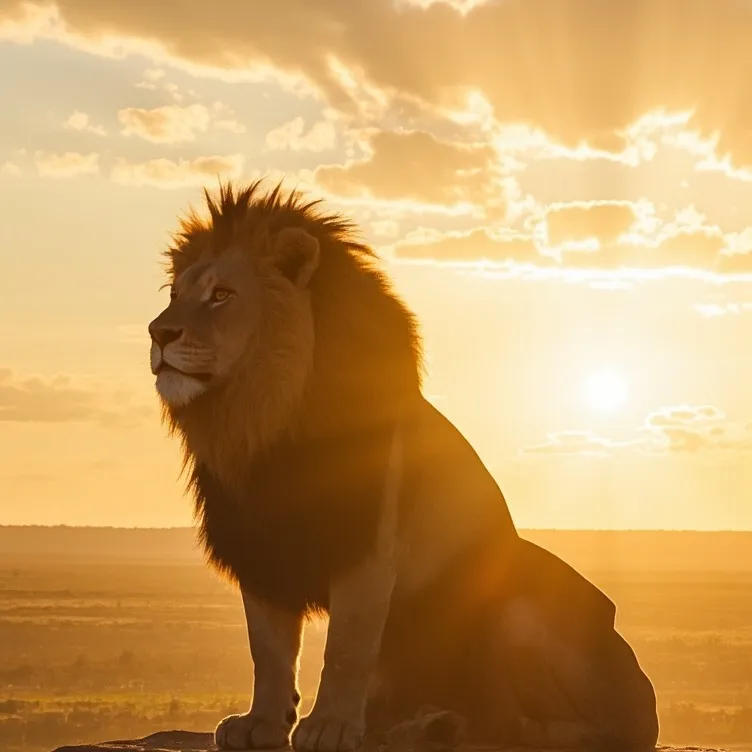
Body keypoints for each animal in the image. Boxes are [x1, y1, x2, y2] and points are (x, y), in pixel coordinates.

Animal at [148, 180, 659, 752]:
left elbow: (347, 650)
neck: (262, 418)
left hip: (518, 611)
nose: (157, 333)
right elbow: (270, 650)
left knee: (553, 727)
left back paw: (455, 726)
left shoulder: (368, 544)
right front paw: (261, 723)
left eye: (221, 295)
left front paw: (330, 726)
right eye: (174, 295)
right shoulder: (260, 546)